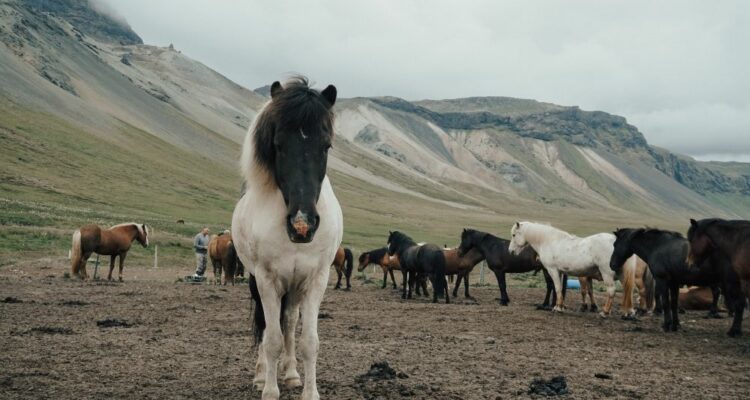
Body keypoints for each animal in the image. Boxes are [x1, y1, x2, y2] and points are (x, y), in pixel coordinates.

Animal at [232, 76, 344, 398]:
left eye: (326, 146)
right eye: (278, 145)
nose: (302, 225)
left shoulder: (317, 279)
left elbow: (308, 341)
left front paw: (309, 391)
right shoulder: (266, 279)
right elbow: (271, 338)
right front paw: (269, 390)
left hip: (295, 287)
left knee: (290, 322)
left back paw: (292, 374)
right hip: (259, 281)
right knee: (265, 325)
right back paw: (261, 376)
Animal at [516, 220, 644, 318]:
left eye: (514, 235)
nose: (513, 251)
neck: (551, 241)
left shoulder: (554, 271)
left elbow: (559, 288)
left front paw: (558, 308)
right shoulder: (563, 272)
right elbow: (567, 289)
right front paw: (561, 306)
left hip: (607, 274)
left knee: (612, 291)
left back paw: (605, 312)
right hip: (623, 275)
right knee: (628, 290)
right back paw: (629, 312)